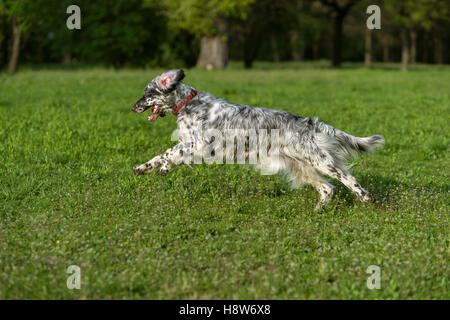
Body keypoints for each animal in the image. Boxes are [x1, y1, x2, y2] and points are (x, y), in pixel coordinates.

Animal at [132, 69, 384, 210]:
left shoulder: (197, 144)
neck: (188, 103)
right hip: (301, 166)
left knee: (348, 179)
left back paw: (367, 198)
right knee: (326, 189)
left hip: (320, 161)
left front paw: (164, 167)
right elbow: (162, 153)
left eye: (147, 93)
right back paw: (317, 211)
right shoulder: (189, 144)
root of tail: (307, 122)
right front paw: (144, 167)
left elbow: (171, 153)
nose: (133, 107)